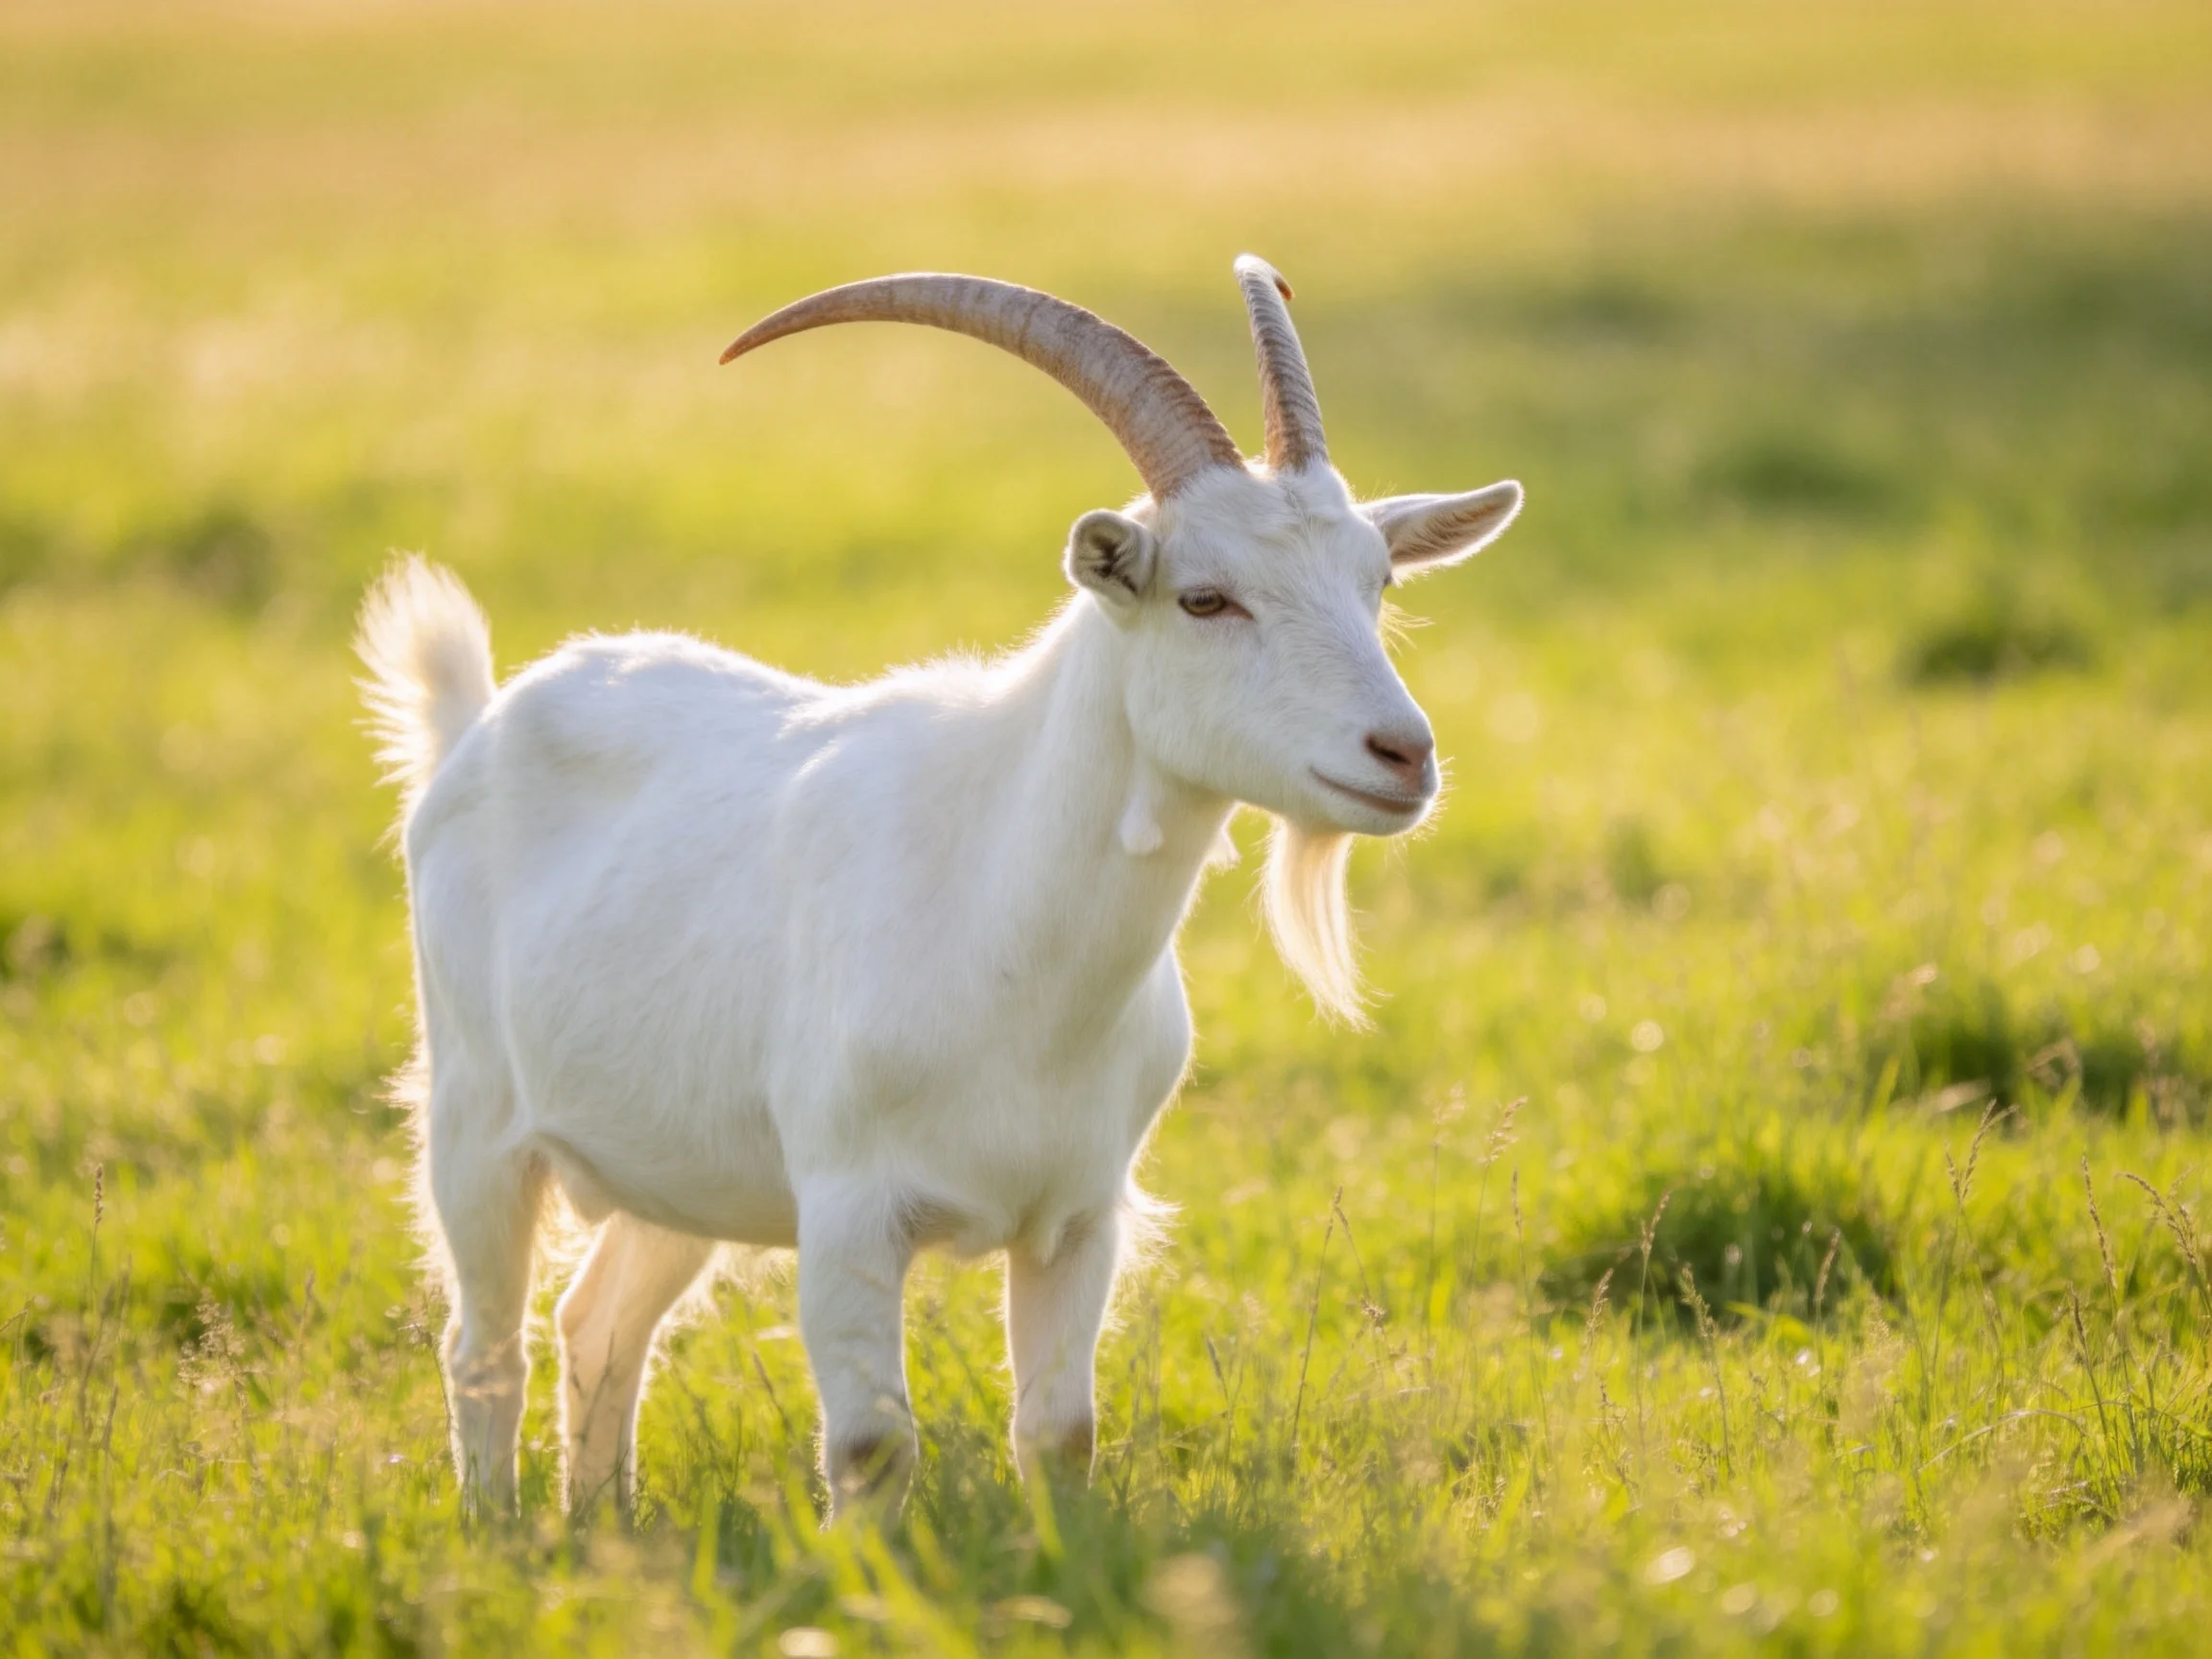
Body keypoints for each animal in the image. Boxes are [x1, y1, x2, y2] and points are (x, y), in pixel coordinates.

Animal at [357, 256, 1522, 1518]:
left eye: (1377, 583)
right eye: (1205, 598)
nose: (1401, 755)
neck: (1006, 925)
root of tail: (481, 721)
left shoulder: (1079, 1216)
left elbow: (1060, 1431)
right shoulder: (847, 1210)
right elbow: (873, 1444)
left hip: (682, 1162)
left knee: (599, 1321)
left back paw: (602, 1529)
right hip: (474, 1117)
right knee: (484, 1346)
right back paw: (502, 1532)